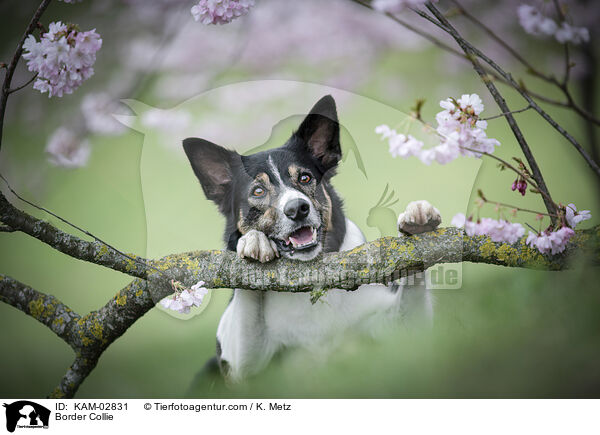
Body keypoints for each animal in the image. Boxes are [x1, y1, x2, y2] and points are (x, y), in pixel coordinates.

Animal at [183, 95, 440, 382]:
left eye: (305, 177)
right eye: (258, 191)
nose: (297, 208)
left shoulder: (397, 329)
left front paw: (418, 220)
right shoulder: (241, 367)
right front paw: (253, 242)